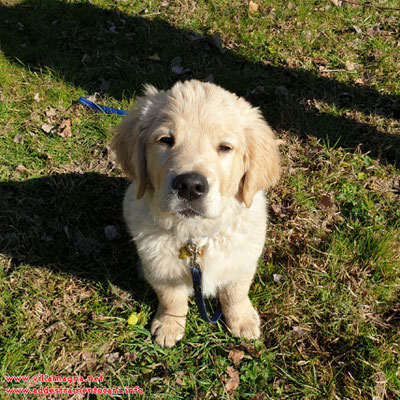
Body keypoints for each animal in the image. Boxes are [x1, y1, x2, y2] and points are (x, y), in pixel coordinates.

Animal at [111, 80, 282, 346]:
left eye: (224, 147)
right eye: (165, 140)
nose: (190, 185)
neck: (197, 237)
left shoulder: (242, 262)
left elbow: (236, 293)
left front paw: (243, 320)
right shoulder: (161, 270)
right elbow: (171, 298)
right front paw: (169, 325)